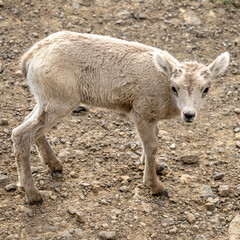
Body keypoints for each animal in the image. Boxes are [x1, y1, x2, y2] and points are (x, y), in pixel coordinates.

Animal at [11, 31, 229, 203]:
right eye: (174, 87)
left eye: (206, 89)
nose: (189, 114)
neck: (163, 86)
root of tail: (31, 57)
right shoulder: (141, 114)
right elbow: (152, 145)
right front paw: (155, 186)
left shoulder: (150, 119)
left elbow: (152, 141)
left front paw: (156, 166)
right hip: (59, 104)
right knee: (21, 134)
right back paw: (33, 195)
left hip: (45, 101)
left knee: (29, 126)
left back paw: (54, 165)